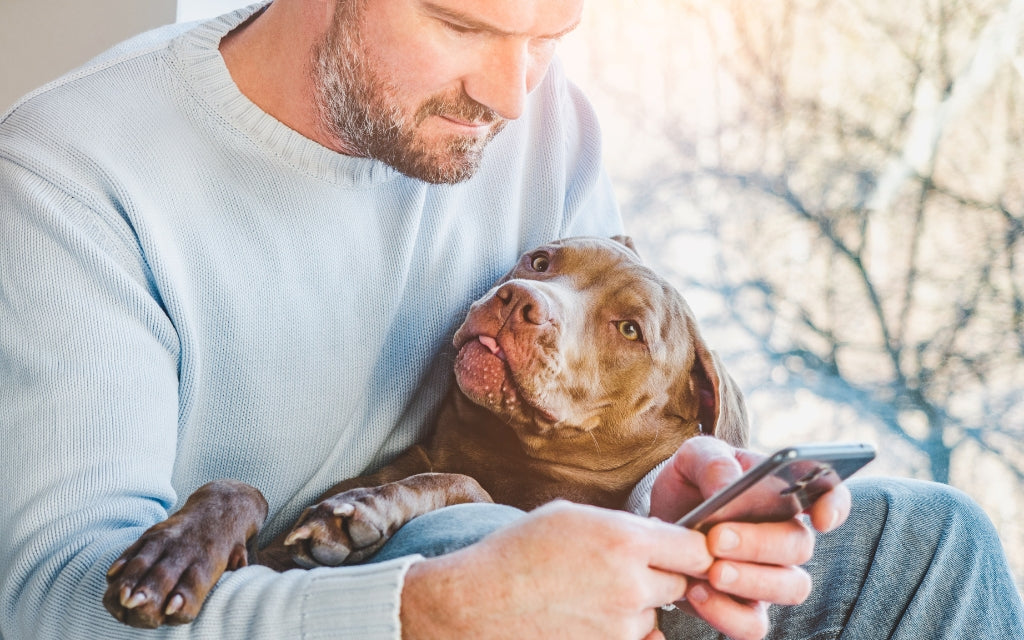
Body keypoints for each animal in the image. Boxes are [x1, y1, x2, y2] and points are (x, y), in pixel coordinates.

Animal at [103, 233, 749, 622]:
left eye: (630, 330)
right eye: (542, 261)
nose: (518, 299)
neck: (497, 448)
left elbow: (461, 485)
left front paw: (367, 509)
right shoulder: (265, 554)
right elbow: (238, 488)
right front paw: (177, 553)